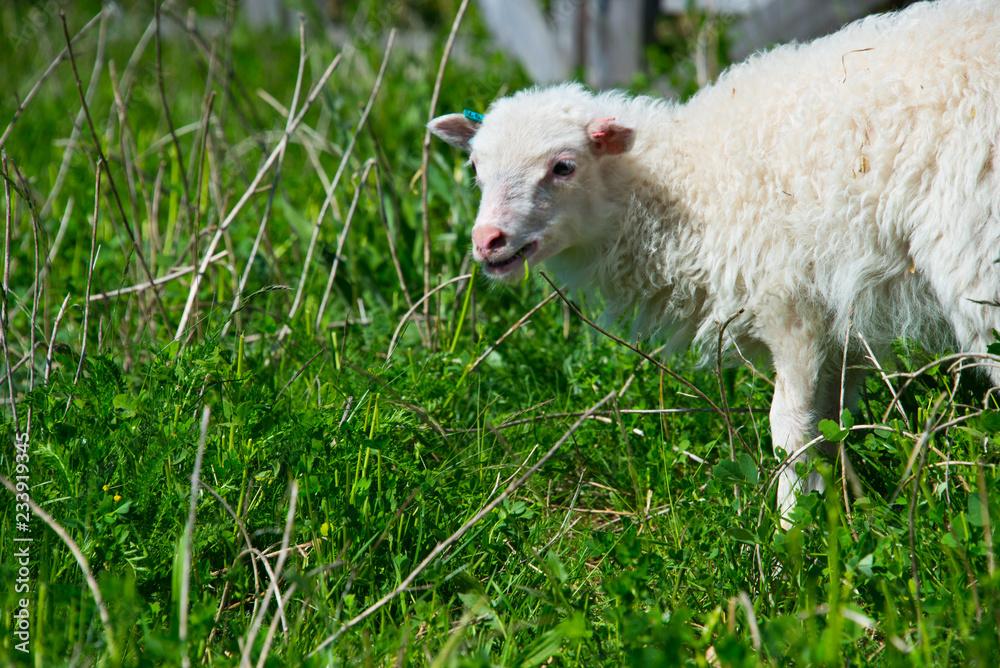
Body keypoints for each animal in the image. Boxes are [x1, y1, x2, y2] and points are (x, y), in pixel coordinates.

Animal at [429, 0, 1000, 527]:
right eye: (475, 166)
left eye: (564, 167)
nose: (487, 241)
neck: (692, 188)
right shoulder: (842, 318)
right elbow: (829, 422)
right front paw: (833, 511)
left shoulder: (792, 302)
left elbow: (790, 429)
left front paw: (792, 533)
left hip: (976, 254)